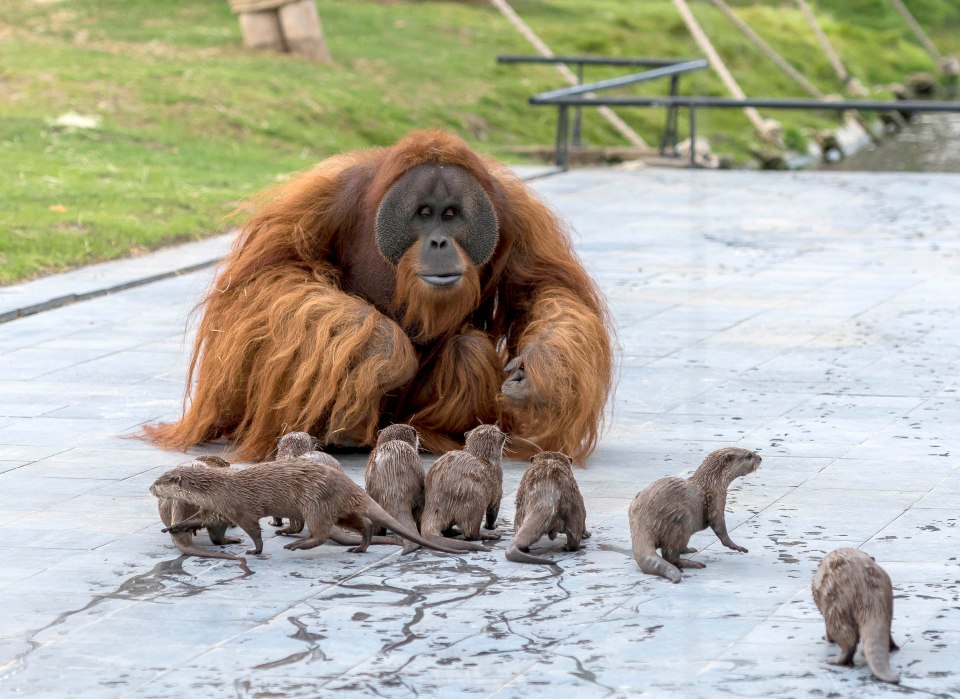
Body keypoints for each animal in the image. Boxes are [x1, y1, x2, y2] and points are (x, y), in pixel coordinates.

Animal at [150, 460, 464, 556]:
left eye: (159, 481)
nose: (150, 488)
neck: (217, 489)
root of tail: (348, 484)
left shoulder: (239, 509)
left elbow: (255, 531)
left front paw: (256, 550)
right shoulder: (216, 509)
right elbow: (196, 520)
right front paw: (173, 526)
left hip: (314, 503)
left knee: (321, 533)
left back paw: (297, 545)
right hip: (340, 509)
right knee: (362, 523)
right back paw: (360, 547)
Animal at [628, 448, 760, 584]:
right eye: (749, 456)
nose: (760, 458)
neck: (713, 483)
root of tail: (643, 520)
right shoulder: (716, 502)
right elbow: (720, 528)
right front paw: (736, 546)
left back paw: (688, 549)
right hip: (678, 523)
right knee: (670, 556)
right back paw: (693, 564)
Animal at [812, 548, 896, 684]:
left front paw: (827, 638)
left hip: (836, 609)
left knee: (848, 639)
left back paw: (835, 661)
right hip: (888, 600)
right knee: (886, 628)